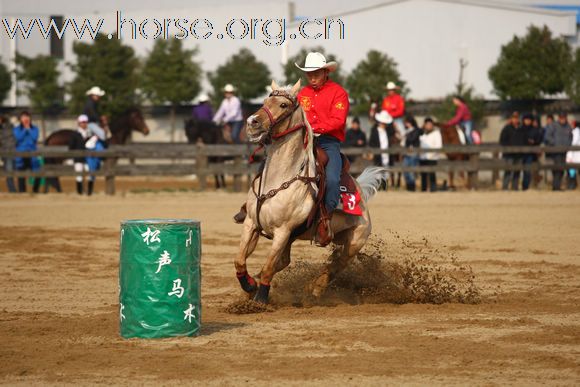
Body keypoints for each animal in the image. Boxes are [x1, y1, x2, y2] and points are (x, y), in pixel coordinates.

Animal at [233, 80, 388, 304]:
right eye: (265, 101)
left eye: (283, 105)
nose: (252, 122)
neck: (278, 179)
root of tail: (361, 197)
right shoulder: (252, 223)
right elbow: (240, 261)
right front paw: (249, 285)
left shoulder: (282, 232)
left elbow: (269, 267)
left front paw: (260, 298)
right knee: (287, 262)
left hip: (355, 241)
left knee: (337, 265)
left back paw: (314, 288)